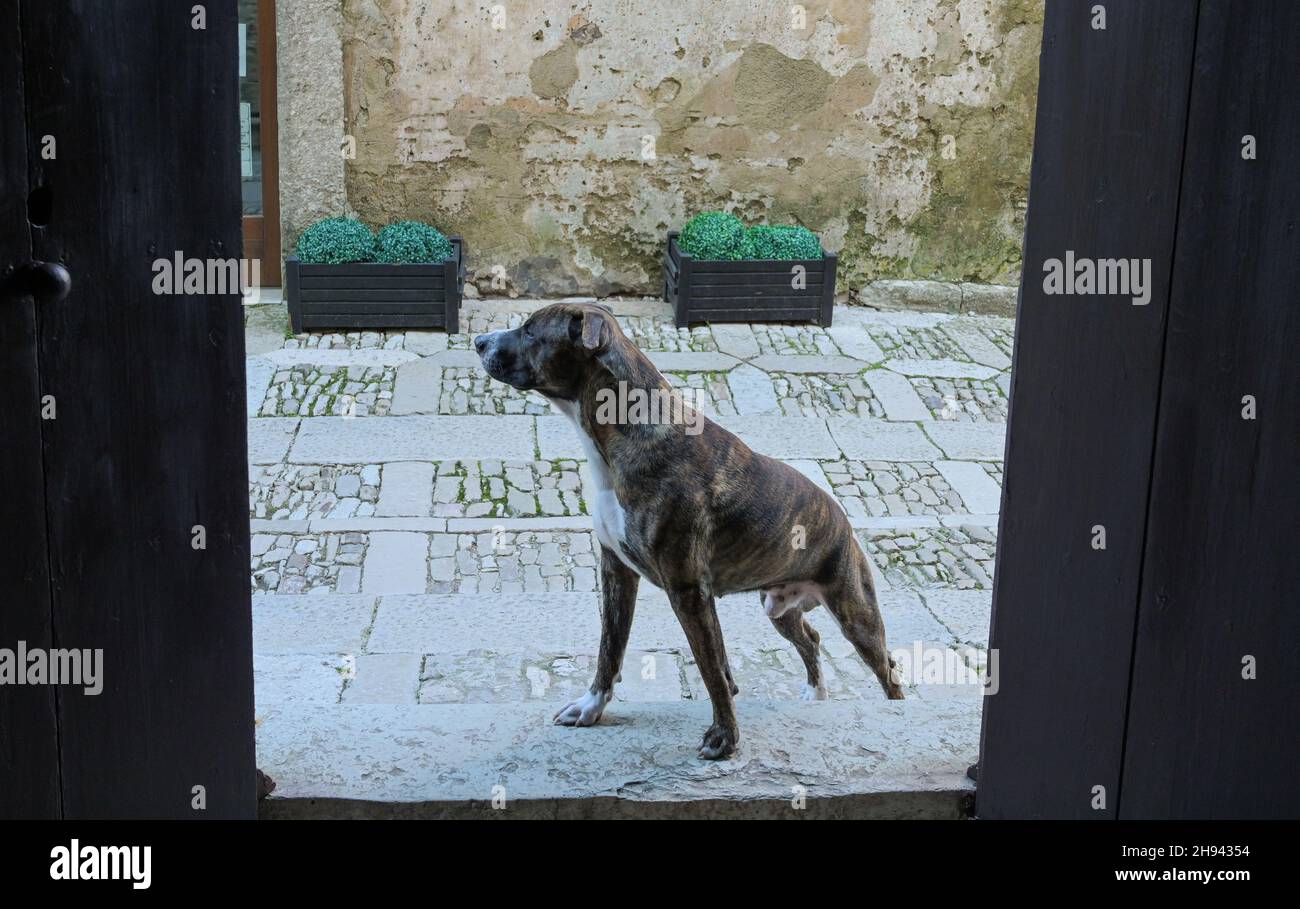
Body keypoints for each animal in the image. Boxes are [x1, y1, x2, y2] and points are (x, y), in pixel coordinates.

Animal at [478, 305, 904, 759]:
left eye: (529, 331)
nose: (479, 341)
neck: (626, 434)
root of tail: (843, 521)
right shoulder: (617, 572)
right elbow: (610, 650)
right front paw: (590, 707)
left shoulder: (688, 592)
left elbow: (711, 668)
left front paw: (724, 737)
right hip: (780, 607)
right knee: (810, 637)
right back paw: (815, 694)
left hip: (856, 615)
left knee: (887, 668)